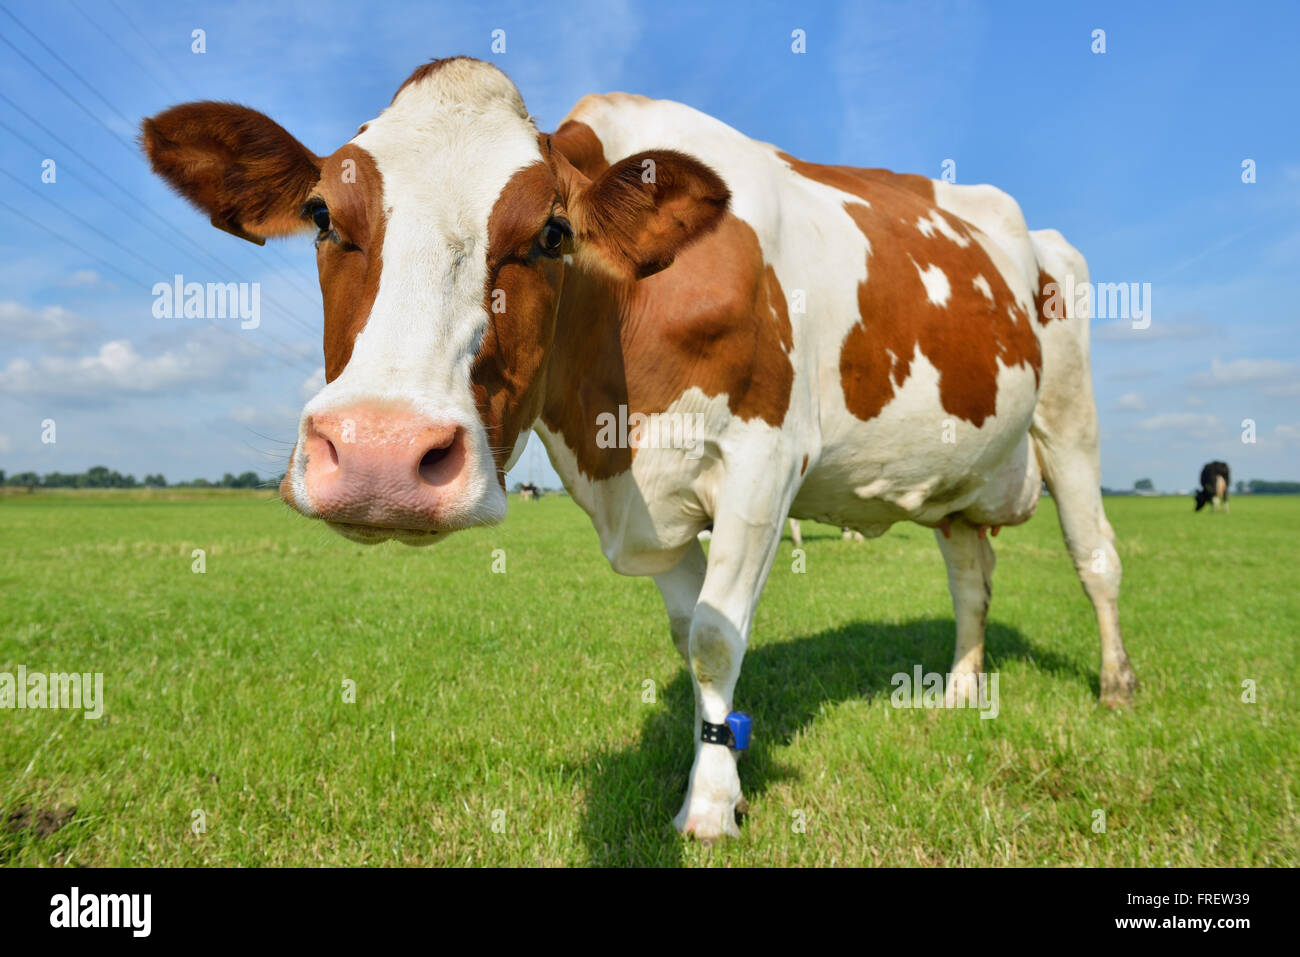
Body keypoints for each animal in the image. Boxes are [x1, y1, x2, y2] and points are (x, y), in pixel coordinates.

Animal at [141, 56, 1137, 841]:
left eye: (550, 233)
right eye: (320, 216)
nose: (381, 453)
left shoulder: (765, 461)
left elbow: (716, 637)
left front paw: (711, 804)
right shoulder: (641, 507)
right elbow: (684, 632)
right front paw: (712, 768)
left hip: (1070, 420)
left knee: (1094, 556)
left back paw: (1117, 685)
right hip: (964, 471)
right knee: (970, 572)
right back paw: (963, 689)